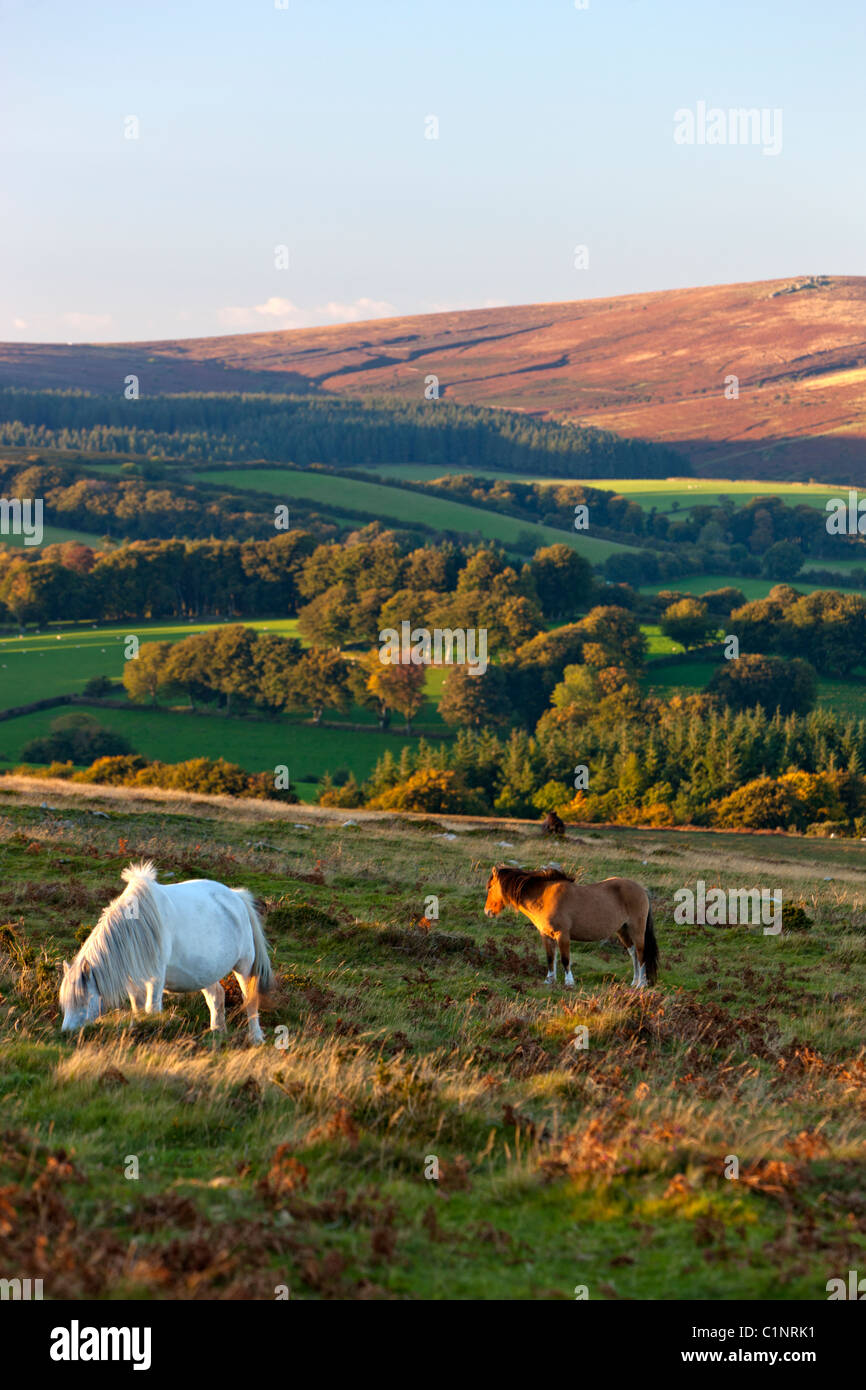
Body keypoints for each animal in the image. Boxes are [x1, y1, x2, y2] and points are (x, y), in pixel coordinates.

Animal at [59, 861, 274, 1043]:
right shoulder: (134, 980)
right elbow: (138, 1009)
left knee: (249, 1000)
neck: (140, 927)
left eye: (84, 999)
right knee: (216, 996)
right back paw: (217, 1033)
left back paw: (256, 1038)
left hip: (244, 966)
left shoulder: (155, 977)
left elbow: (151, 1009)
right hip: (205, 972)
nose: (67, 1034)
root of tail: (237, 896)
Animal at [483, 864, 658, 989]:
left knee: (641, 953)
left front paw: (569, 982)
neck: (545, 897)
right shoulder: (546, 935)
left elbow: (565, 959)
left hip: (636, 929)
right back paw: (634, 982)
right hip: (622, 930)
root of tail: (642, 890)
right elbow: (550, 958)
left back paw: (642, 984)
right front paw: (549, 981)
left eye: (490, 887)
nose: (487, 911)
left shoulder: (563, 935)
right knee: (633, 953)